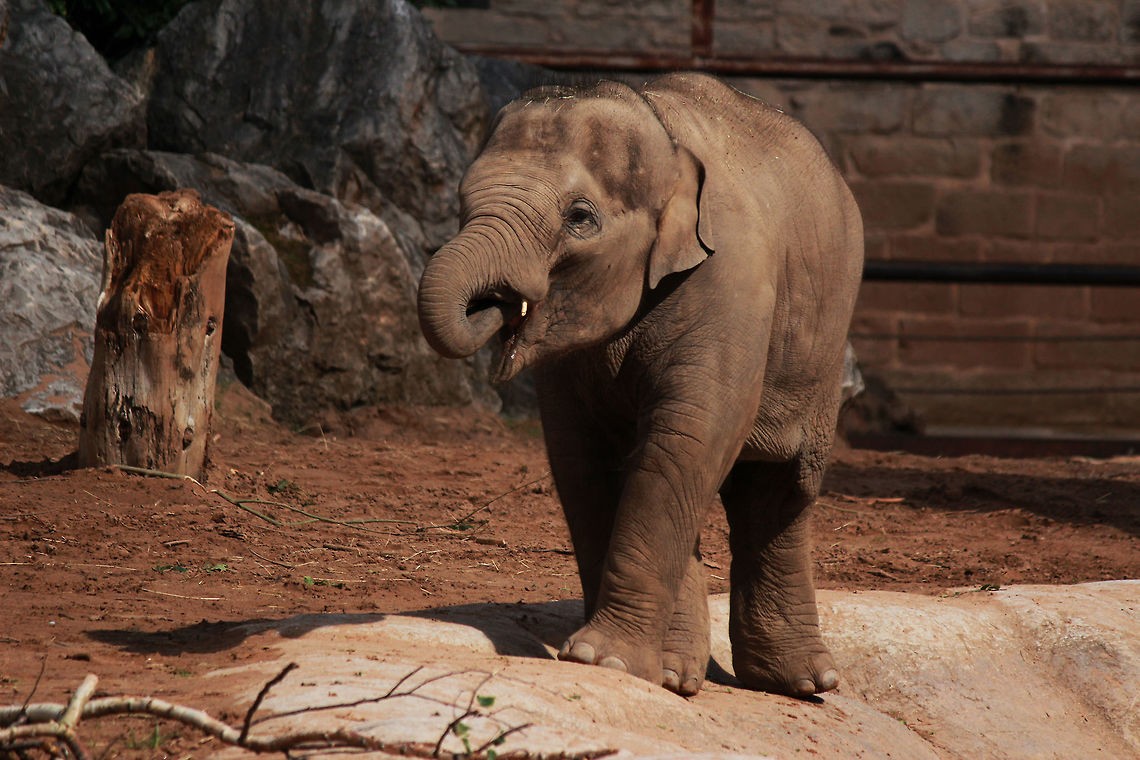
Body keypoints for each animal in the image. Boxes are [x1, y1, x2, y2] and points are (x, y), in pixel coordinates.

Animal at [417, 73, 863, 697]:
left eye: (580, 217)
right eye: (461, 203)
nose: (497, 304)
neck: (665, 136)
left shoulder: (730, 278)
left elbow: (685, 440)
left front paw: (603, 662)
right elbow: (584, 460)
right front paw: (646, 670)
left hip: (824, 338)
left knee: (783, 487)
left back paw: (804, 683)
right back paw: (690, 673)